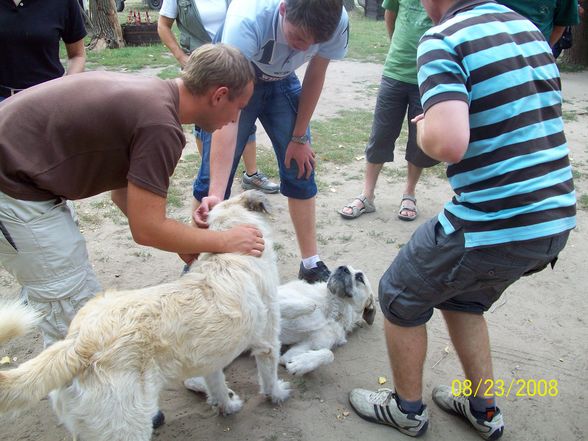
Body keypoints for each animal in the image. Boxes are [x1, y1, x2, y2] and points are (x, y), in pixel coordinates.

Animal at [0, 191, 290, 440]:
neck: (229, 252)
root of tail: (79, 343)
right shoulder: (267, 343)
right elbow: (268, 378)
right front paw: (277, 394)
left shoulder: (211, 358)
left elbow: (217, 386)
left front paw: (227, 407)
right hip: (126, 428)